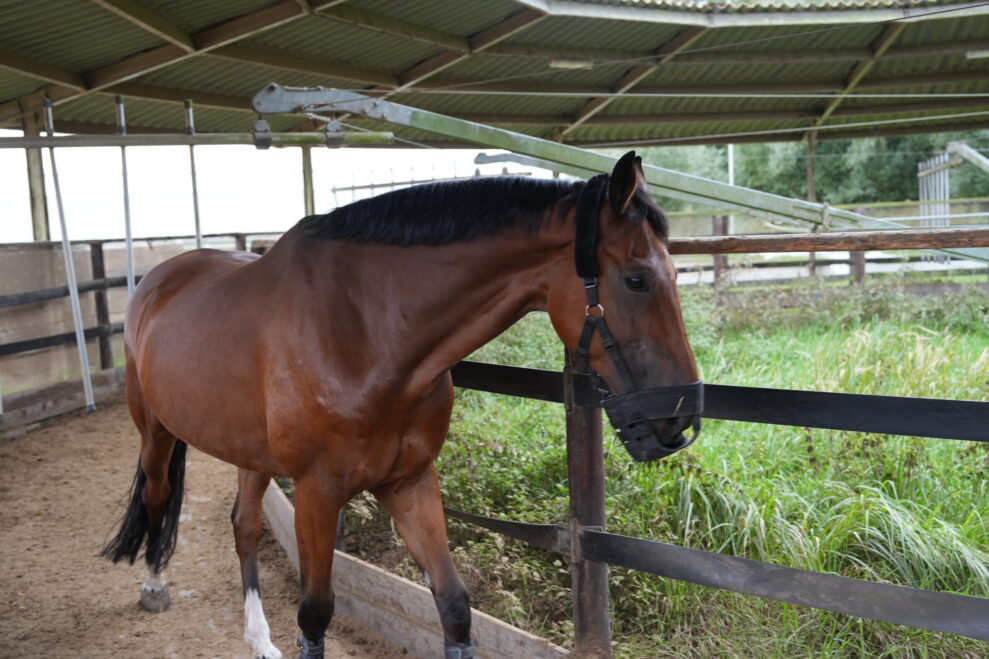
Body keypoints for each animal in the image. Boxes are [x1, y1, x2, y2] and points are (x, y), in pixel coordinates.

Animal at [100, 152, 700, 659]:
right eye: (637, 280)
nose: (681, 417)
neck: (366, 331)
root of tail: (159, 278)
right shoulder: (318, 494)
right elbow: (314, 616)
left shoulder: (409, 483)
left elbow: (454, 607)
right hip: (155, 433)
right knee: (157, 497)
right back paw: (153, 585)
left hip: (251, 456)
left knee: (244, 527)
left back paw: (259, 638)